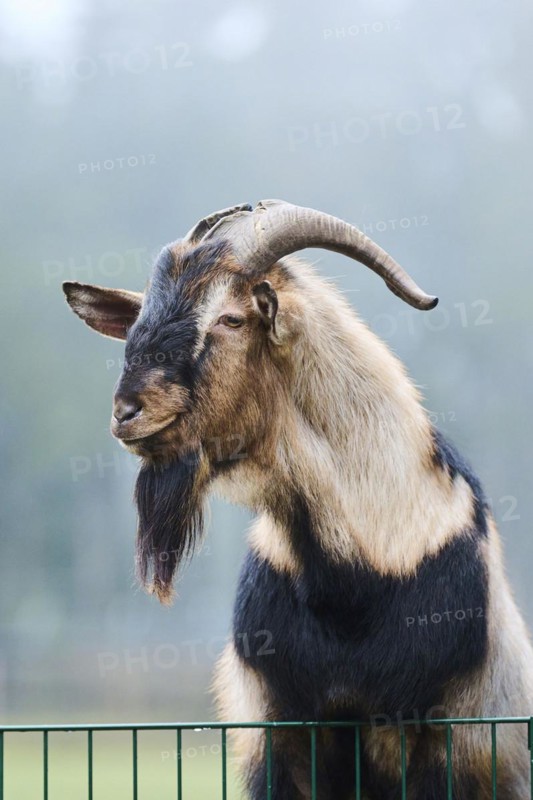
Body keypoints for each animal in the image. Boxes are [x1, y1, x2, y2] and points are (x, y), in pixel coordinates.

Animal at [63, 200, 533, 799]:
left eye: (231, 318)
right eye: (139, 320)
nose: (127, 411)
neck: (358, 570)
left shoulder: (447, 734)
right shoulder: (280, 730)